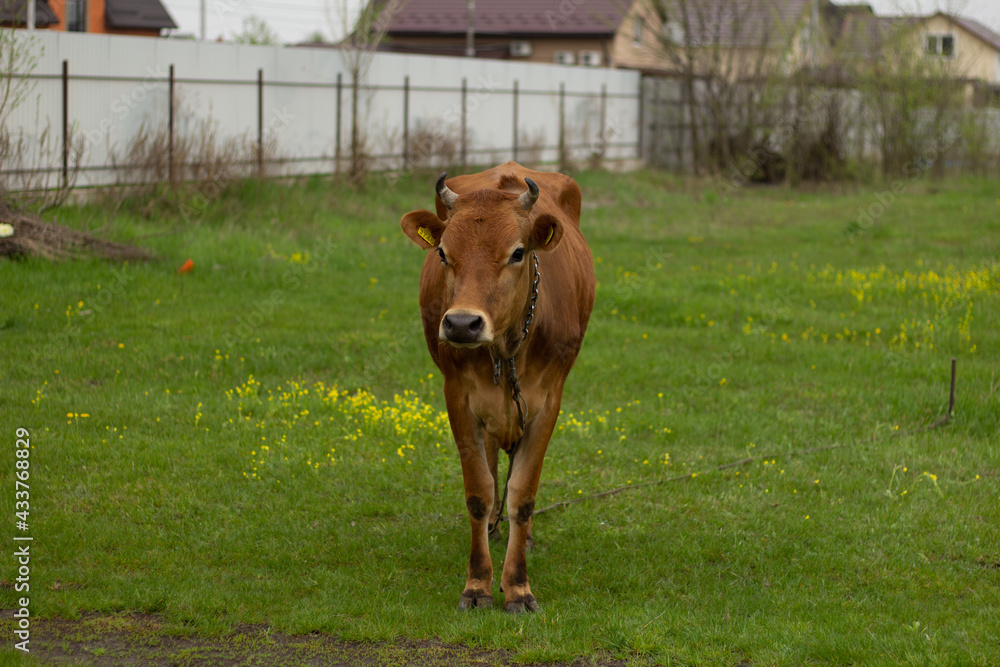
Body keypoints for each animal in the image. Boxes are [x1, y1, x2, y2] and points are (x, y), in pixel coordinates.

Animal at [400, 162, 595, 613]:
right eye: (443, 253)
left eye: (518, 253)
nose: (461, 324)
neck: (506, 348)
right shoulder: (458, 397)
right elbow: (479, 491)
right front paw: (478, 585)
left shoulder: (548, 403)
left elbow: (523, 495)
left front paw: (518, 586)